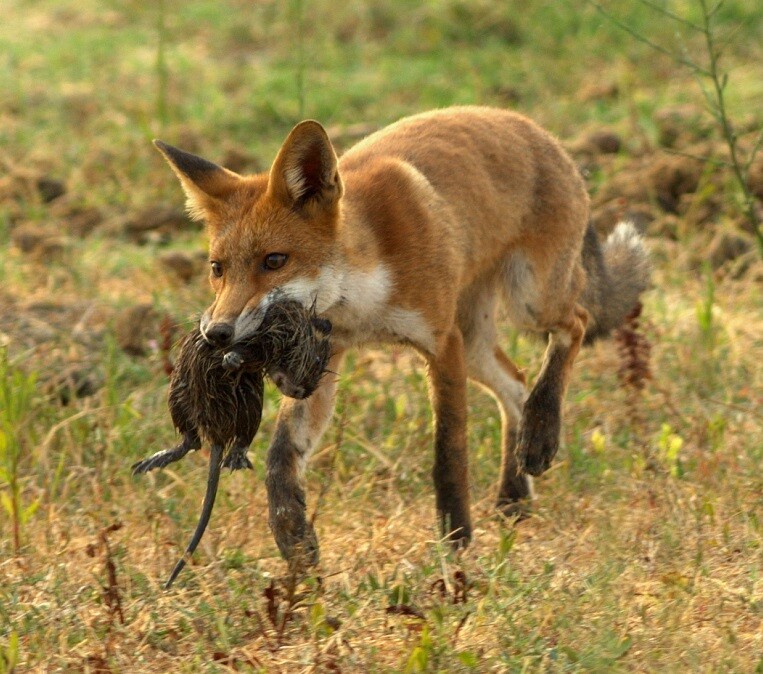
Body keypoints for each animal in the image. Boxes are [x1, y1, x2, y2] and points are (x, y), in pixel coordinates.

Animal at [155, 105, 652, 564]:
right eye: (217, 269)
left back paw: (541, 435)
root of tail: (543, 134)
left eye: (274, 261)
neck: (362, 301)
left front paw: (457, 543)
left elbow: (448, 454)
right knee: (516, 383)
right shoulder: (323, 358)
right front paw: (292, 533)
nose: (216, 334)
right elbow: (282, 454)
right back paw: (514, 494)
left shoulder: (441, 344)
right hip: (477, 342)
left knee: (576, 324)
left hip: (529, 301)